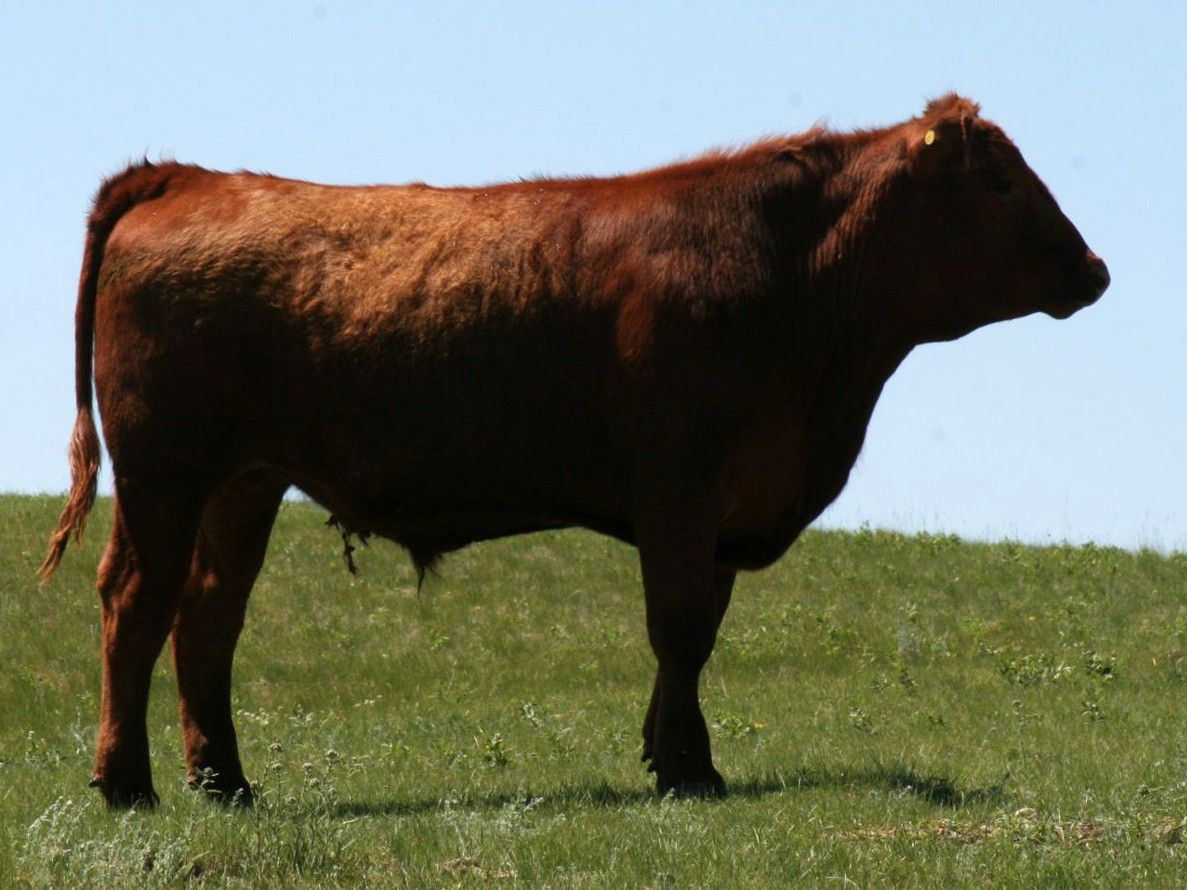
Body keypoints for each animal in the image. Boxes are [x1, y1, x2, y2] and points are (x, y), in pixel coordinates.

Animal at [40, 95, 1108, 808]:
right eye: (1002, 180)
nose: (1093, 269)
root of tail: (190, 175)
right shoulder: (680, 487)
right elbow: (678, 628)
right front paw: (689, 772)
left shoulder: (723, 511)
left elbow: (698, 633)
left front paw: (670, 754)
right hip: (164, 471)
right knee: (136, 601)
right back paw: (127, 784)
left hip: (244, 481)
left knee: (208, 614)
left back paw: (224, 782)